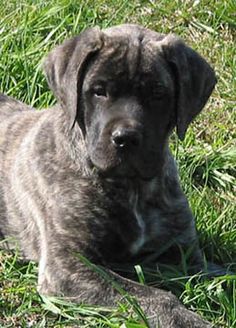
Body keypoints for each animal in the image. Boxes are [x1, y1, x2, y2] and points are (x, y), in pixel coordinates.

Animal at [0, 25, 218, 328]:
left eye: (157, 93)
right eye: (98, 91)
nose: (125, 138)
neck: (132, 187)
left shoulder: (185, 254)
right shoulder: (68, 265)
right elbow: (155, 297)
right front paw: (190, 320)